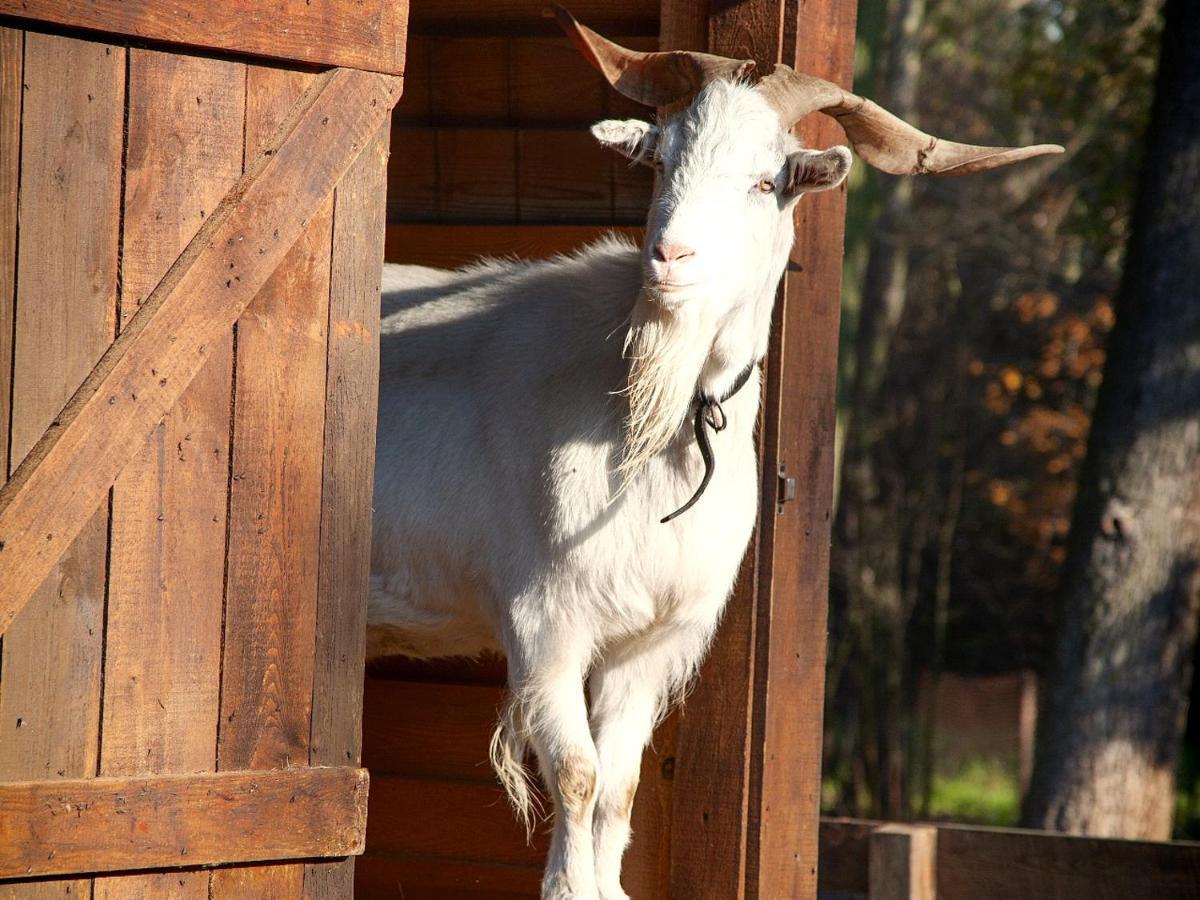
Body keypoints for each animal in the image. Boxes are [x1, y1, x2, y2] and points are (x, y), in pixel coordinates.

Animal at [367, 8, 1060, 900]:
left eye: (768, 181)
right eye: (662, 158)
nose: (670, 258)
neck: (648, 417)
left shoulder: (651, 639)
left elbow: (619, 784)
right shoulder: (542, 620)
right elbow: (577, 776)